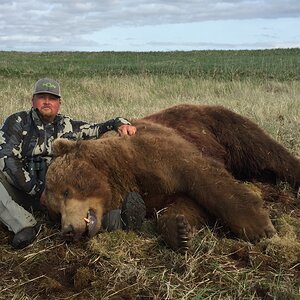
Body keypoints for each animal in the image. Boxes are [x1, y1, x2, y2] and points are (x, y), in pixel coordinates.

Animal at [43, 104, 298, 252]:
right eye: (55, 213)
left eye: (66, 190)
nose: (68, 230)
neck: (122, 174)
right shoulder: (153, 190)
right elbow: (183, 205)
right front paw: (179, 230)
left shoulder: (155, 151)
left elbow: (206, 178)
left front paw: (262, 229)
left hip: (224, 128)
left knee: (266, 151)